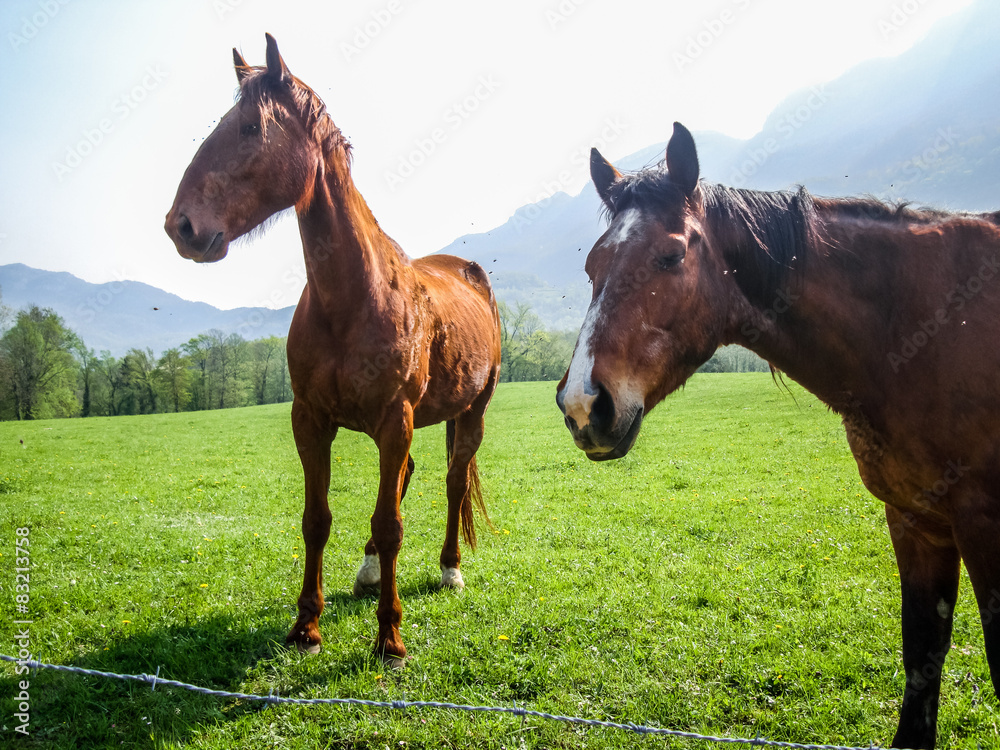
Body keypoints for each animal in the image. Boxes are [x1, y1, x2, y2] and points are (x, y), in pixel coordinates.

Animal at [164, 34, 501, 667]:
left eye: (249, 127)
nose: (181, 226)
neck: (352, 298)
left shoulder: (394, 420)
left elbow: (392, 525)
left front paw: (389, 638)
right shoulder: (312, 420)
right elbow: (316, 520)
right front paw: (306, 626)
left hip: (470, 413)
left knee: (450, 481)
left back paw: (449, 569)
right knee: (410, 478)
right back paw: (368, 571)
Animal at [556, 122, 1000, 748]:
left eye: (671, 255)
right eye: (593, 265)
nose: (582, 404)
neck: (921, 325)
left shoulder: (985, 526)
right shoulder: (916, 521)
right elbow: (922, 662)